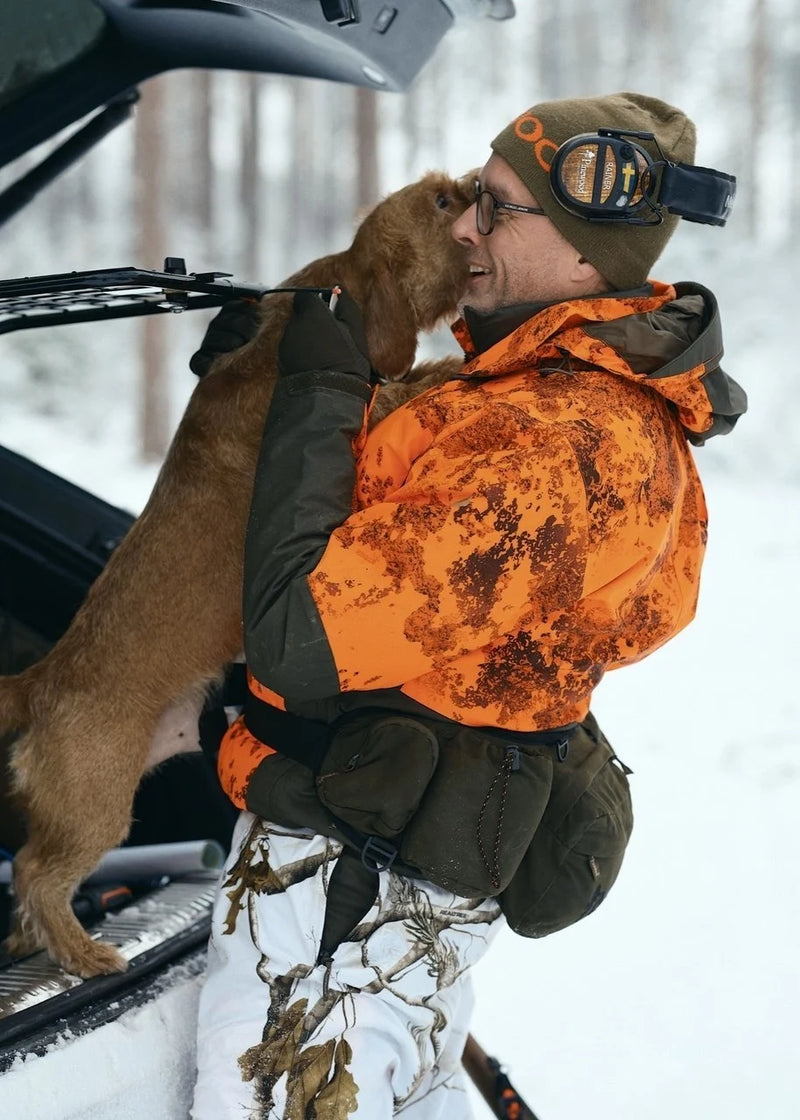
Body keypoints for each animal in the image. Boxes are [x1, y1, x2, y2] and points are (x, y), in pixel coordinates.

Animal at [0, 170, 468, 976]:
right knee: (34, 875)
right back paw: (88, 954)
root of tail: (38, 682)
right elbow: (397, 389)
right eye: (441, 202)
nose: (476, 187)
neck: (329, 294)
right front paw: (451, 369)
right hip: (96, 806)